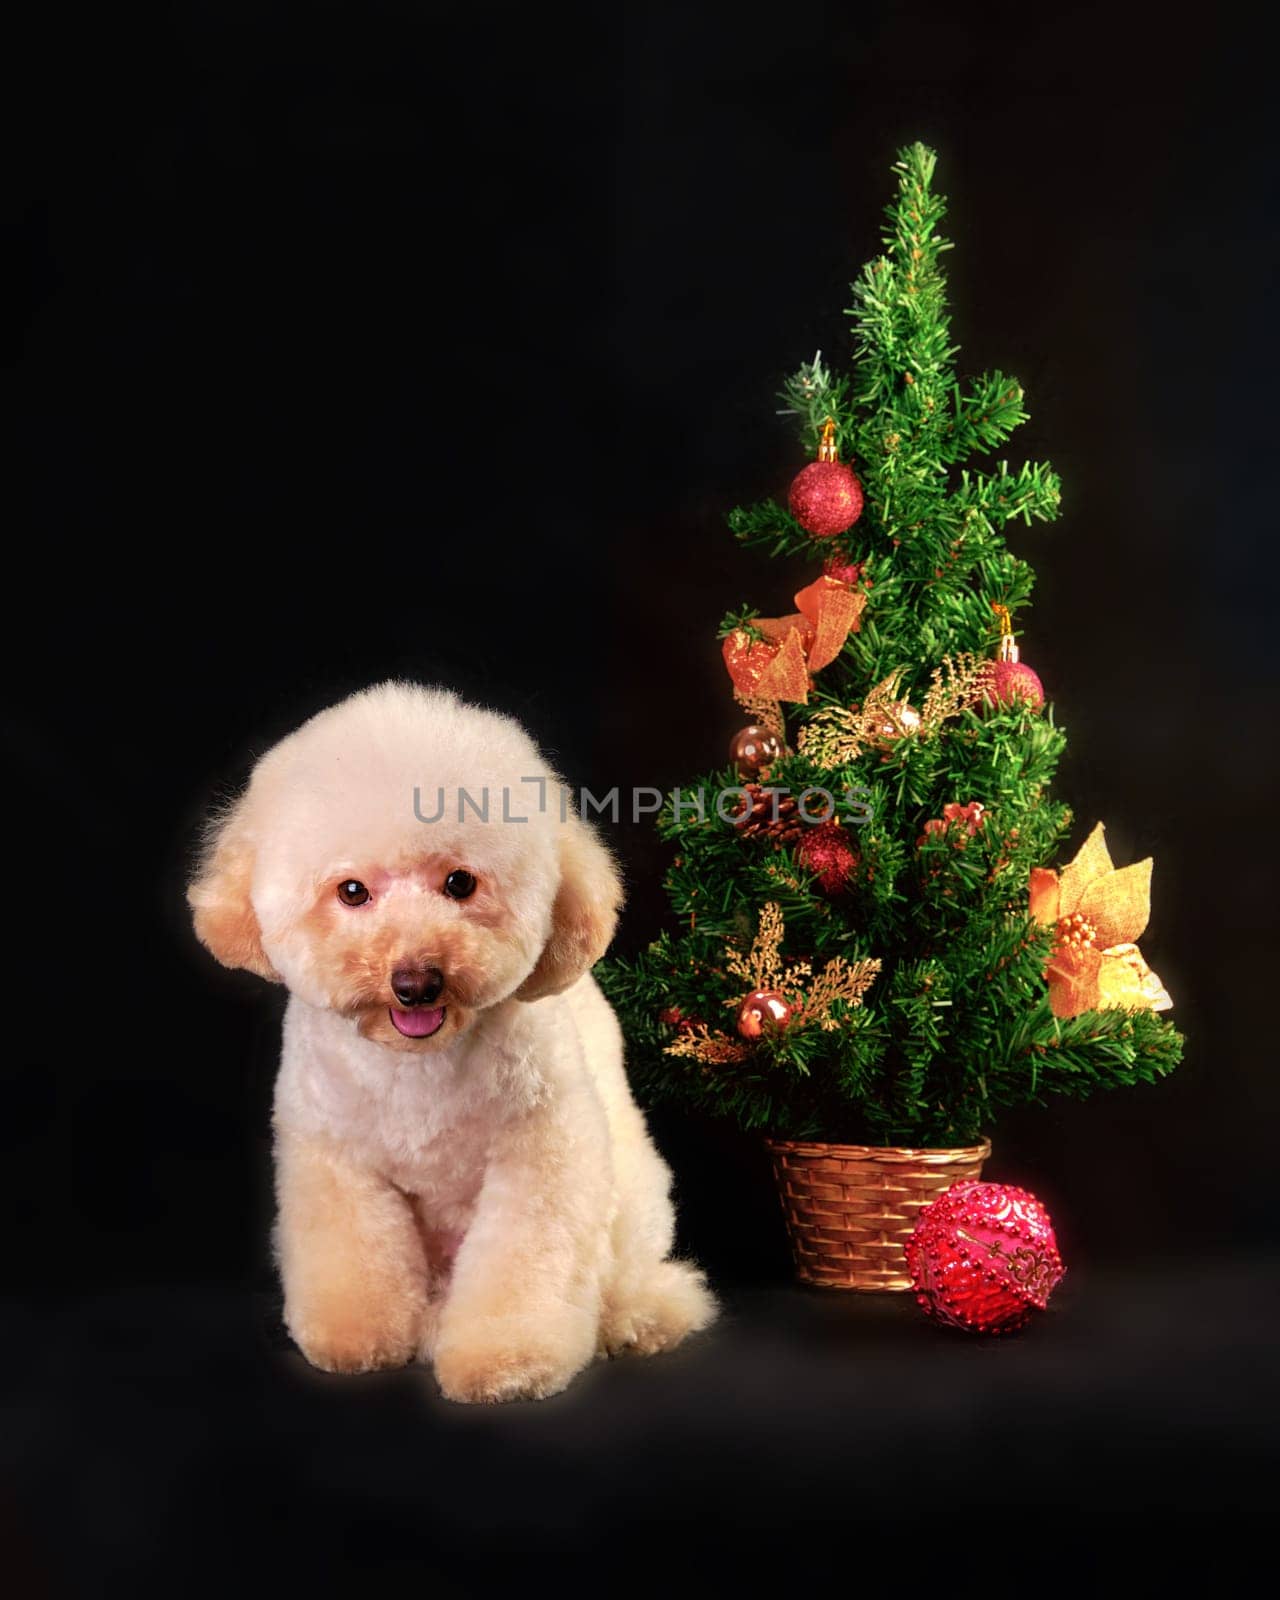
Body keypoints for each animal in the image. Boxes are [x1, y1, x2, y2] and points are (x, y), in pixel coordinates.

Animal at [188, 681, 713, 1408]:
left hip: (633, 1199)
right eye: (352, 892)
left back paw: (636, 1318)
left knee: (630, 1278)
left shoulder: (541, 1159)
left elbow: (525, 1267)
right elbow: (355, 1255)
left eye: (460, 883)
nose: (415, 982)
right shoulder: (335, 1162)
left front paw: (508, 1361)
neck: (416, 1067)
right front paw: (357, 1338)